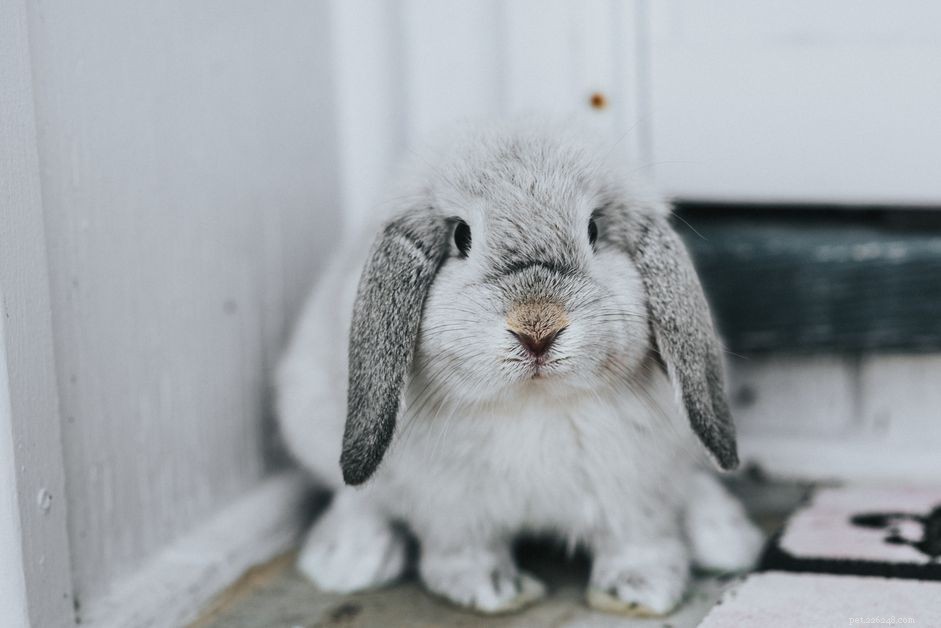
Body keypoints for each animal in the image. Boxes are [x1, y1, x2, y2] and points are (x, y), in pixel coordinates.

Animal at [276, 119, 764, 616]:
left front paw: (639, 591)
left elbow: (637, 539)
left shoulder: (635, 490)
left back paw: (725, 538)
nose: (537, 329)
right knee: (356, 498)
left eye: (593, 229)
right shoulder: (450, 507)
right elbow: (463, 552)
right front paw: (493, 591)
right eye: (461, 236)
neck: (533, 399)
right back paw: (350, 561)